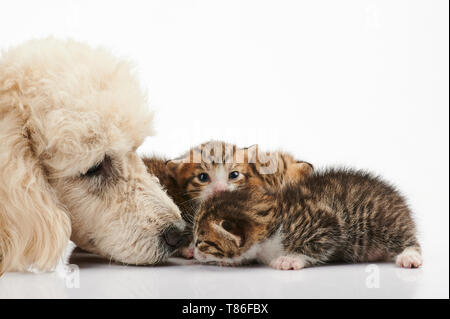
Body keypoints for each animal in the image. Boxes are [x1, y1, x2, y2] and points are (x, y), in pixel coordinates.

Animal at [193, 170, 422, 270]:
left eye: (201, 242)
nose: (193, 253)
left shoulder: (325, 222)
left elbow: (319, 241)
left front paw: (290, 258)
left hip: (382, 218)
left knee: (406, 238)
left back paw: (409, 255)